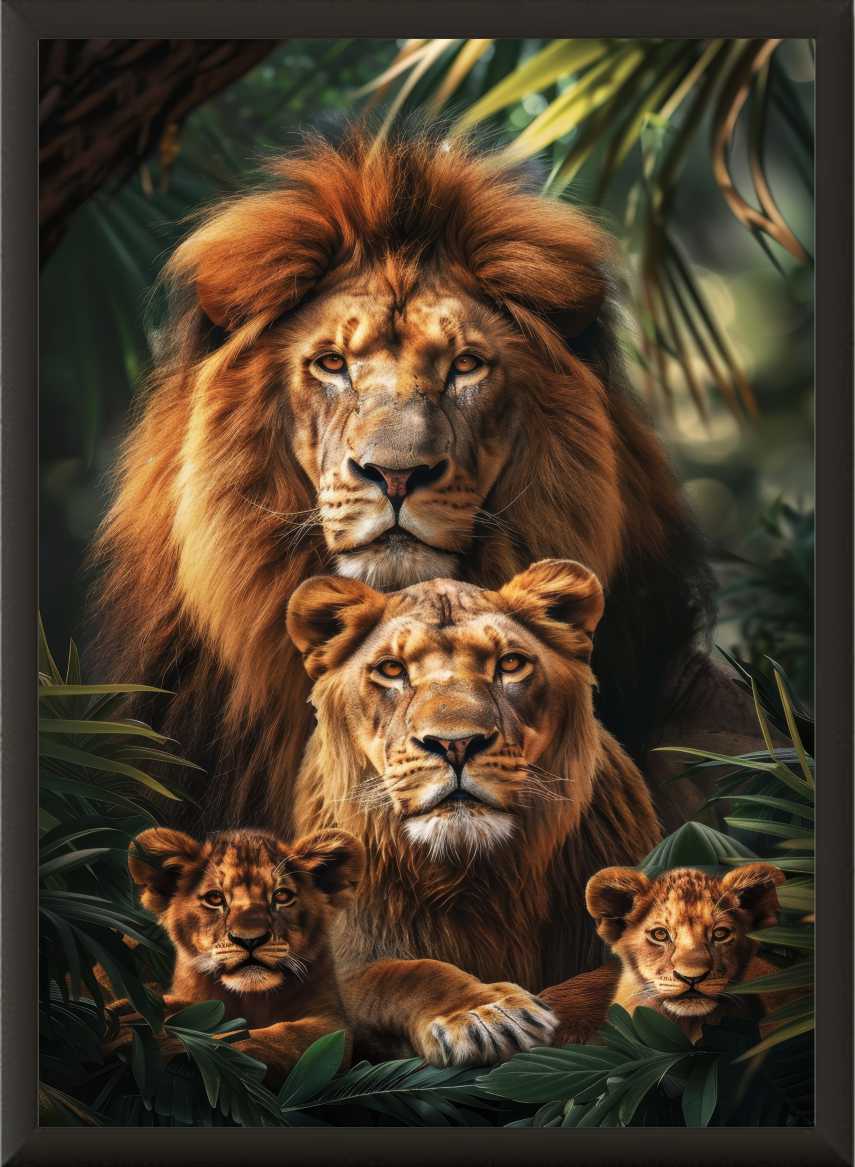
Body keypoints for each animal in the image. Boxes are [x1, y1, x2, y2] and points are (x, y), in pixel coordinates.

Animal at [119, 825, 364, 1084]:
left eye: (282, 896)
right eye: (215, 898)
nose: (250, 939)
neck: (250, 999)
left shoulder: (332, 1022)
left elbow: (278, 1035)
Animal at [285, 557, 661, 1065]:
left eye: (510, 663)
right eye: (391, 669)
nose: (455, 744)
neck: (473, 872)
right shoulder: (346, 960)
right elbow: (403, 974)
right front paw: (483, 1012)